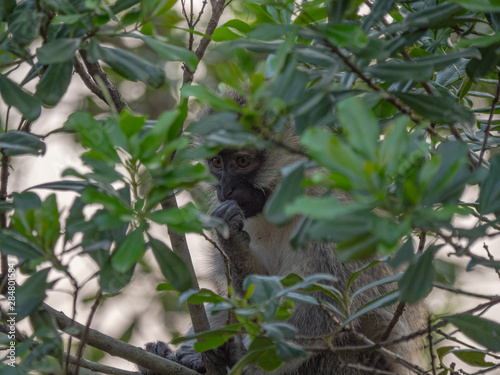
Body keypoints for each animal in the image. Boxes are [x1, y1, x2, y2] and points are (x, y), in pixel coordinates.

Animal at [142, 93, 426, 375]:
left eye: (242, 161)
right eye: (217, 162)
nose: (225, 189)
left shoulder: (330, 218)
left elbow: (323, 308)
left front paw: (246, 361)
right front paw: (234, 244)